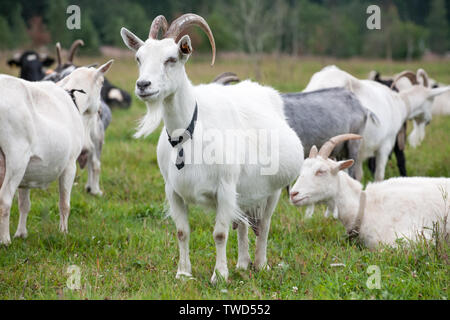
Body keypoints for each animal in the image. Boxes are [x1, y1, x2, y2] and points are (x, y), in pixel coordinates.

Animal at [0, 60, 113, 245]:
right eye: (102, 82)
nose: (101, 111)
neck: (73, 98)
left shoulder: (27, 171)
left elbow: (24, 204)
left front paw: (21, 234)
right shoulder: (69, 165)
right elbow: (64, 203)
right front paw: (63, 232)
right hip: (16, 158)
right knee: (4, 200)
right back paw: (5, 241)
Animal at [120, 13, 302, 282]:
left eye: (171, 59)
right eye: (138, 58)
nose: (143, 85)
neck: (189, 135)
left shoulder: (225, 188)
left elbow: (219, 233)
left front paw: (219, 275)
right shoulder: (173, 191)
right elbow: (182, 231)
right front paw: (183, 273)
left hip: (272, 190)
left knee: (265, 224)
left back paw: (260, 264)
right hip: (243, 191)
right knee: (243, 223)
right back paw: (242, 264)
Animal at [304, 65, 448, 180]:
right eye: (431, 100)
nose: (428, 121)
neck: (400, 102)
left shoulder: (359, 153)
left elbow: (357, 175)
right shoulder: (385, 145)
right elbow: (379, 176)